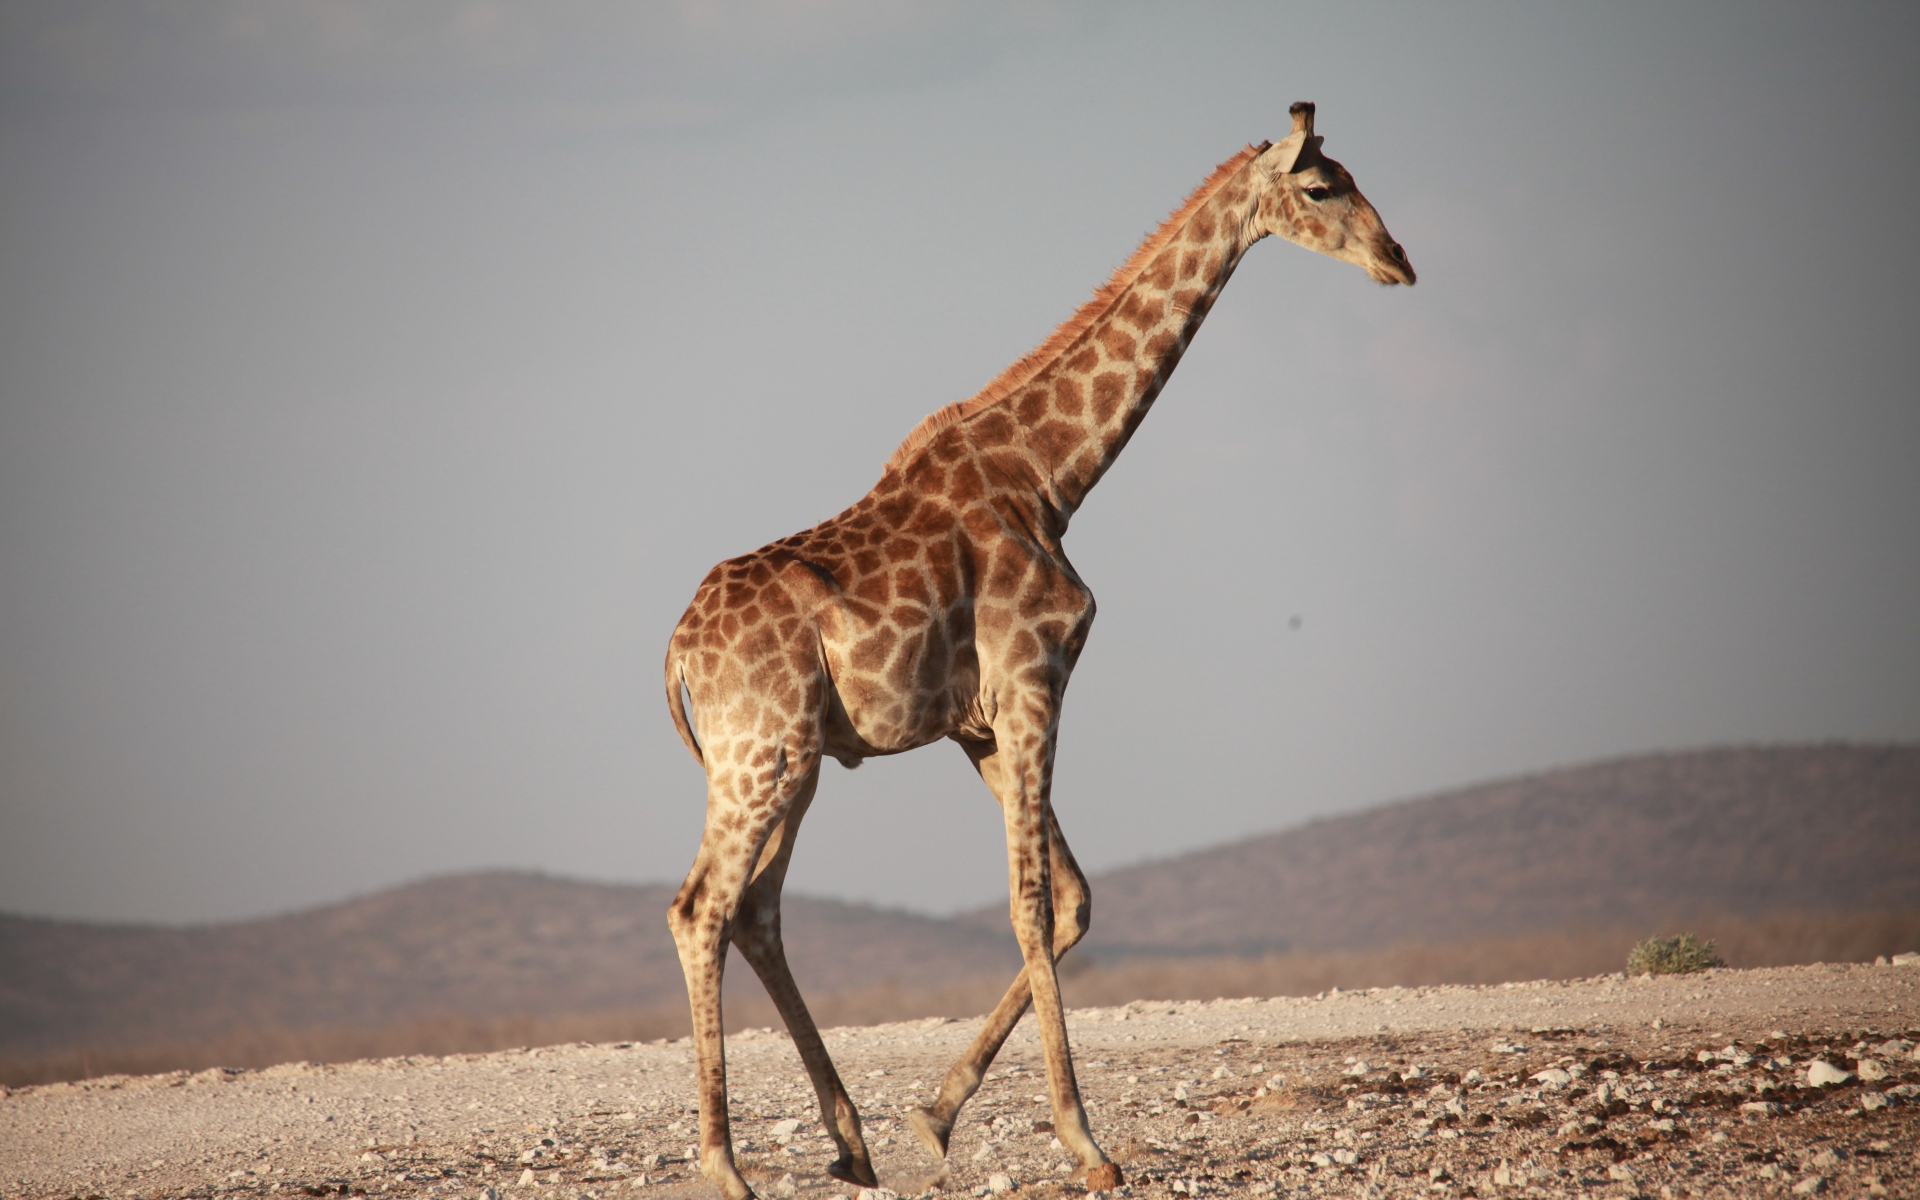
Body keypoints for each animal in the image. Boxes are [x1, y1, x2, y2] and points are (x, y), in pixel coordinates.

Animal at [663, 103, 1413, 1200]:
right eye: (1324, 188)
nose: (1398, 261)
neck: (1052, 475)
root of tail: (676, 654)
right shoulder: (1033, 678)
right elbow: (1030, 905)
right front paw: (1085, 1143)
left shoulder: (979, 724)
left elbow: (1074, 904)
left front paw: (933, 1117)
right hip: (760, 758)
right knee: (701, 909)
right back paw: (724, 1164)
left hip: (791, 763)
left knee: (756, 910)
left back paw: (850, 1142)